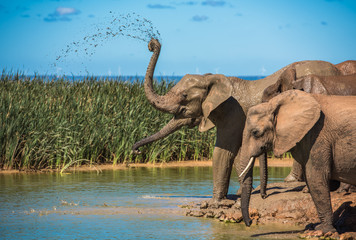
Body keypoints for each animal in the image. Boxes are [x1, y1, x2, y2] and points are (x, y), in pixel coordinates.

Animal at [131, 38, 344, 202]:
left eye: (184, 96)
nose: (136, 150)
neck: (212, 79)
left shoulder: (233, 112)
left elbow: (223, 151)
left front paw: (216, 202)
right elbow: (239, 152)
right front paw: (240, 194)